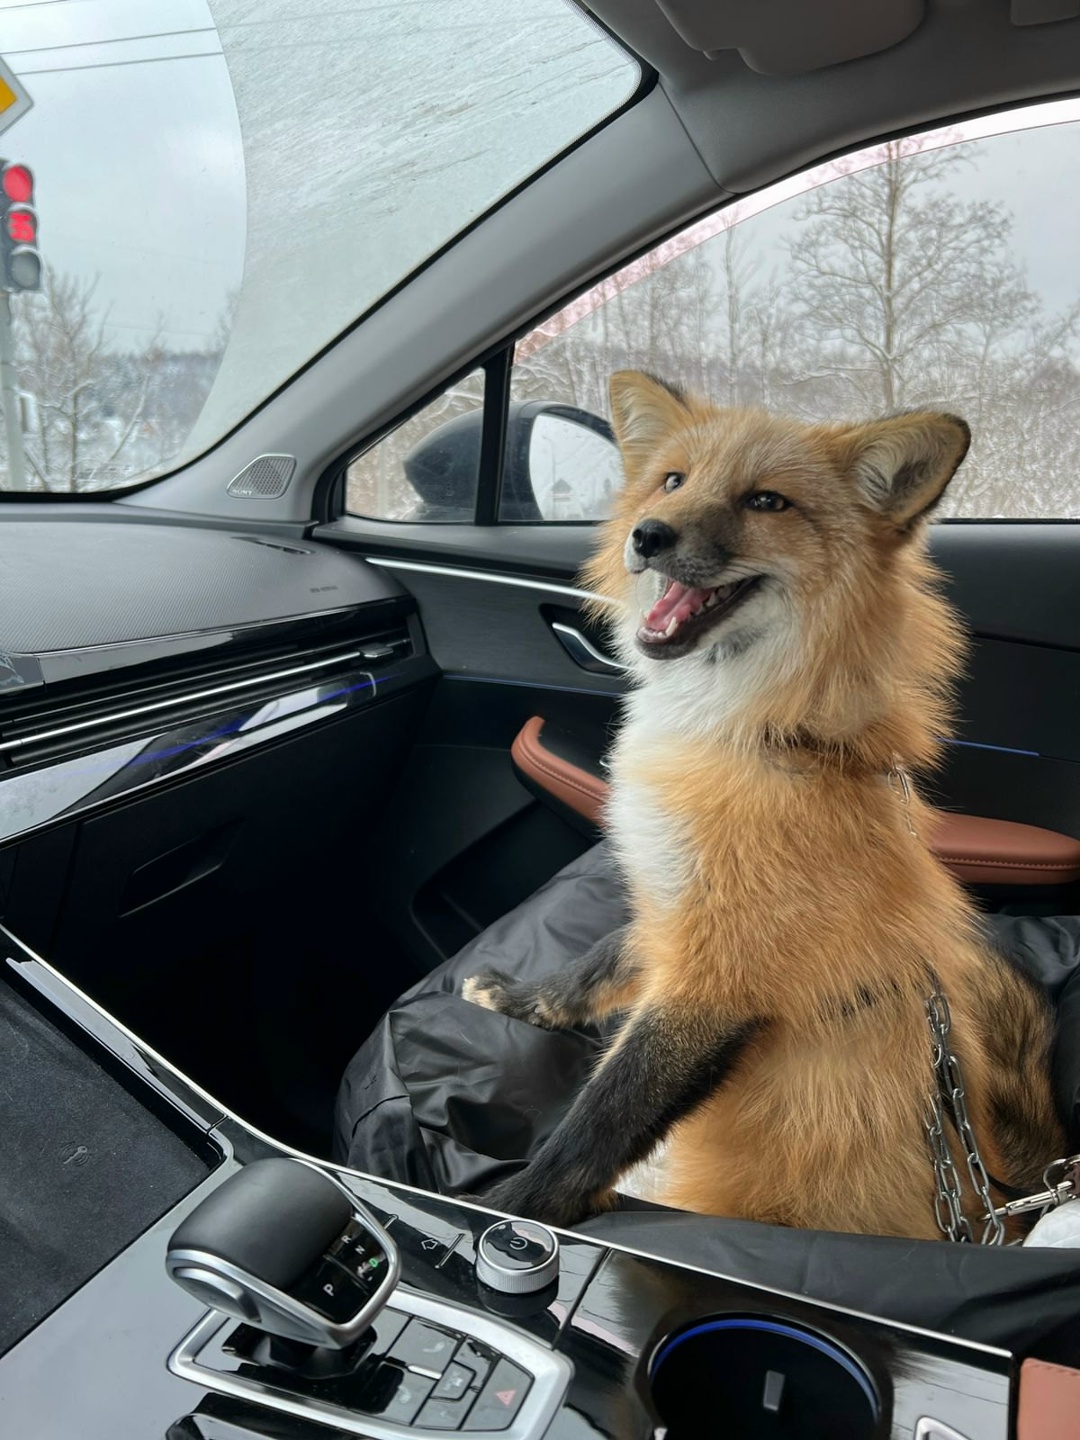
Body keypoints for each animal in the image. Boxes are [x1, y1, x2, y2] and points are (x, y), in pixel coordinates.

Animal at [462, 370, 1066, 1240]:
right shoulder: (669, 906)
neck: (764, 737)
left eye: (766, 502)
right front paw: (522, 999)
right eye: (673, 481)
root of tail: (1005, 1208)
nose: (647, 535)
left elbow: (600, 1120)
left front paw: (498, 1213)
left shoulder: (718, 978)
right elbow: (592, 963)